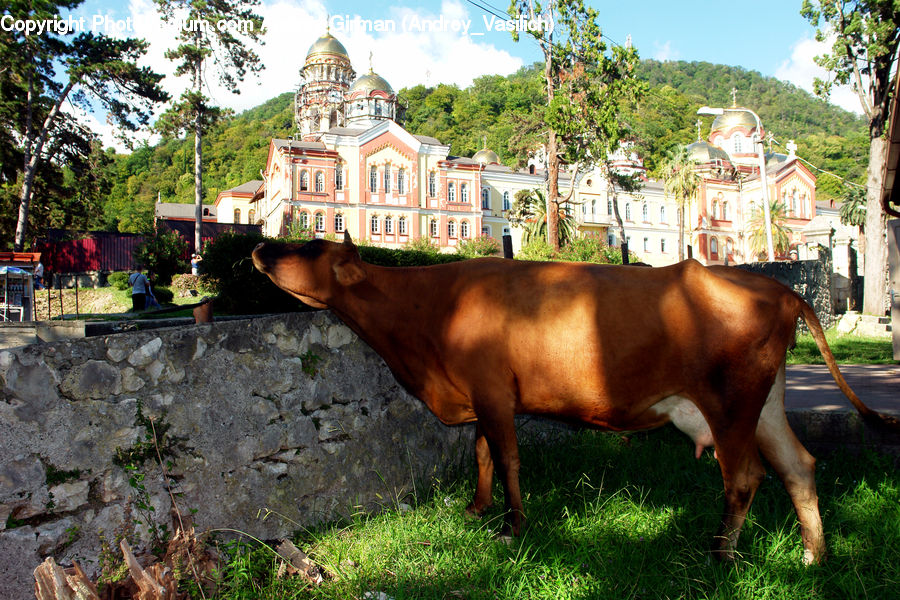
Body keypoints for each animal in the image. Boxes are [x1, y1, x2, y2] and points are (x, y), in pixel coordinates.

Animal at [251, 232, 899, 565]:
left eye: (307, 249)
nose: (257, 249)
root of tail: (780, 289)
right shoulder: (483, 395)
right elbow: (481, 454)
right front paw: (477, 510)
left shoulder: (492, 391)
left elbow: (506, 457)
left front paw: (513, 525)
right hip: (763, 403)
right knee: (799, 466)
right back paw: (814, 557)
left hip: (732, 403)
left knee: (745, 476)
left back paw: (719, 555)